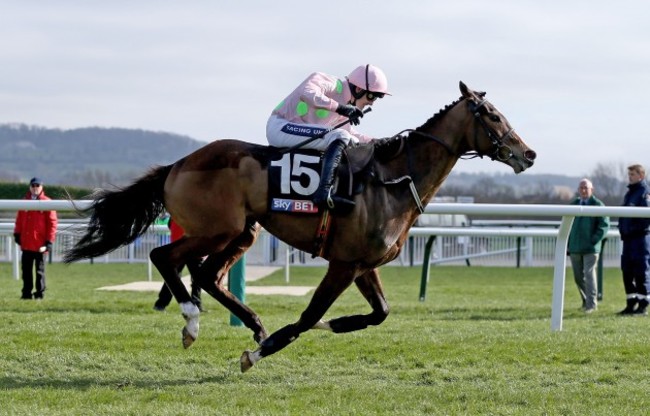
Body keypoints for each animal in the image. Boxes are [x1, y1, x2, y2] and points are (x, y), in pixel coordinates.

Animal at [63, 80, 536, 370]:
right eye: (493, 115)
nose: (528, 154)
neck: (394, 178)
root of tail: (177, 165)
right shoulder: (344, 264)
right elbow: (311, 315)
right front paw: (259, 353)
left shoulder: (364, 265)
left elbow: (379, 313)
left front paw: (321, 328)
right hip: (215, 228)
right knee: (166, 256)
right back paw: (193, 321)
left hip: (244, 230)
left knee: (207, 274)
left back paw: (251, 322)